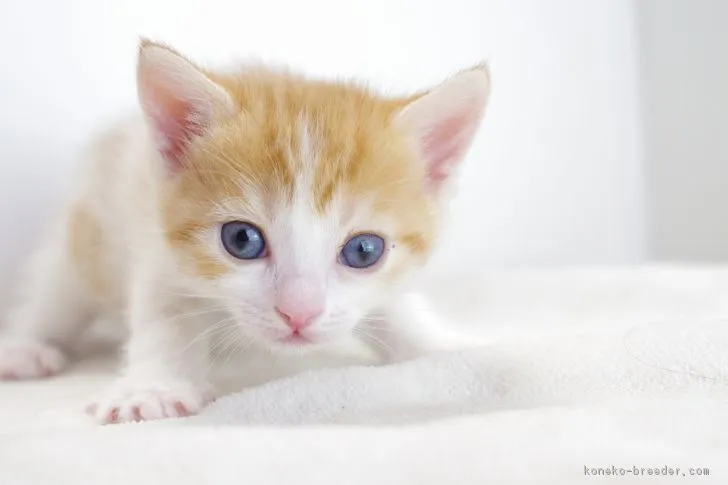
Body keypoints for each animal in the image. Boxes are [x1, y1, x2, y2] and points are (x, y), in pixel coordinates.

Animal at [0, 39, 492, 422]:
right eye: (242, 240)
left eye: (365, 251)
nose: (298, 314)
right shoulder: (157, 244)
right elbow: (165, 316)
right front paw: (153, 388)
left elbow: (397, 308)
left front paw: (444, 346)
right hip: (89, 229)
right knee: (55, 293)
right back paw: (26, 347)